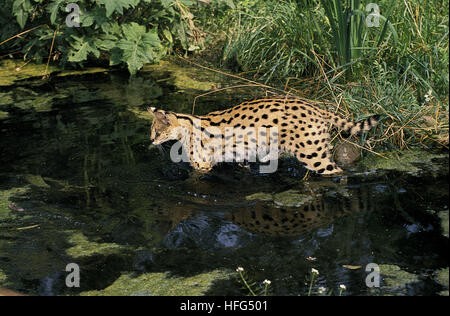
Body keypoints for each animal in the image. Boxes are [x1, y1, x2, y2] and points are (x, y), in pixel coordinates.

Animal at [147, 97, 376, 175]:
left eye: (156, 131)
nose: (150, 140)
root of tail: (316, 107)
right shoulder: (241, 155)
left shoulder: (202, 166)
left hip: (313, 155)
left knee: (336, 172)